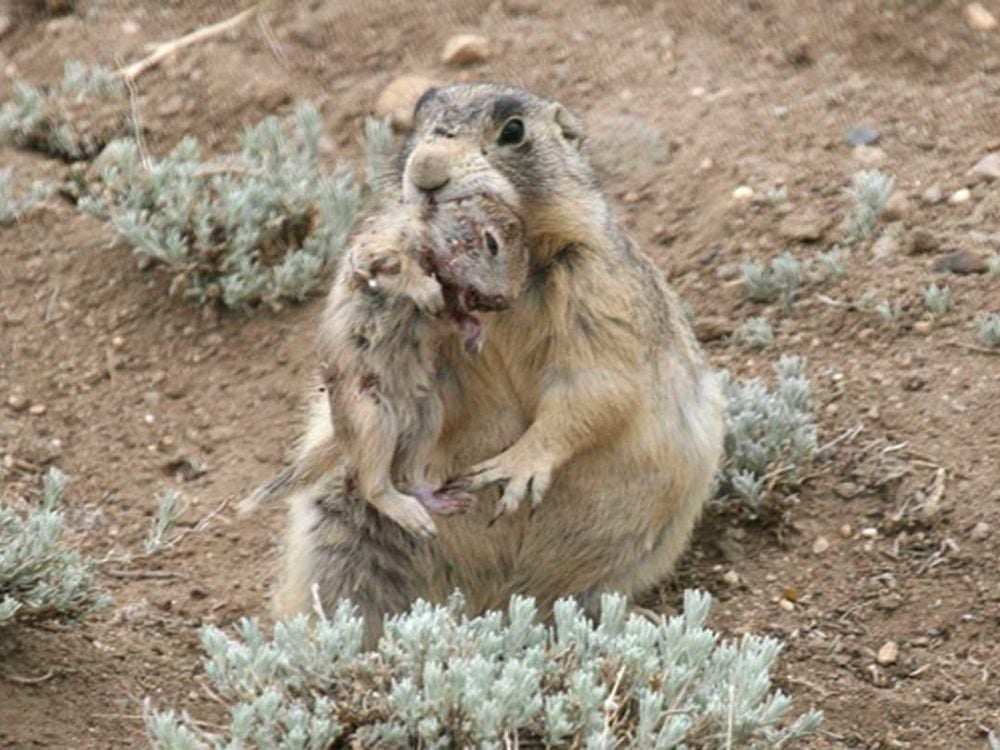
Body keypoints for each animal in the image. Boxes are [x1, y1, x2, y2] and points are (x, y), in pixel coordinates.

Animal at [262, 83, 724, 648]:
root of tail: (496, 605)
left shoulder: (601, 287)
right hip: (336, 529)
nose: (426, 172)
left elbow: (596, 384)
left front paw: (512, 470)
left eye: (513, 130)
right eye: (416, 120)